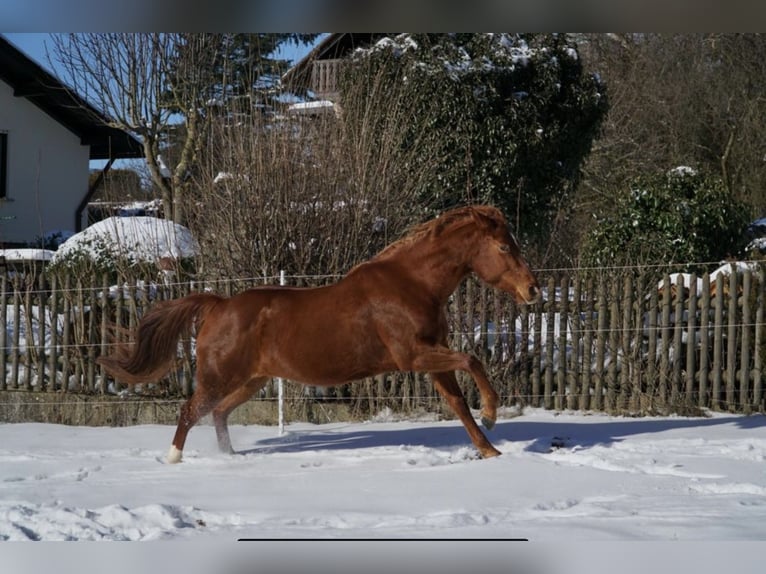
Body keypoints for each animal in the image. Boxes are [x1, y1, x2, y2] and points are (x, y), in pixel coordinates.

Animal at [97, 205, 540, 463]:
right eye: (504, 247)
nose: (533, 290)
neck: (412, 284)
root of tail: (219, 305)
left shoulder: (433, 356)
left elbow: (458, 403)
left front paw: (490, 449)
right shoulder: (414, 355)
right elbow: (473, 359)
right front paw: (493, 414)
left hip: (252, 380)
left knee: (219, 413)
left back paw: (232, 458)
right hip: (219, 377)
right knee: (190, 411)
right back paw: (174, 460)